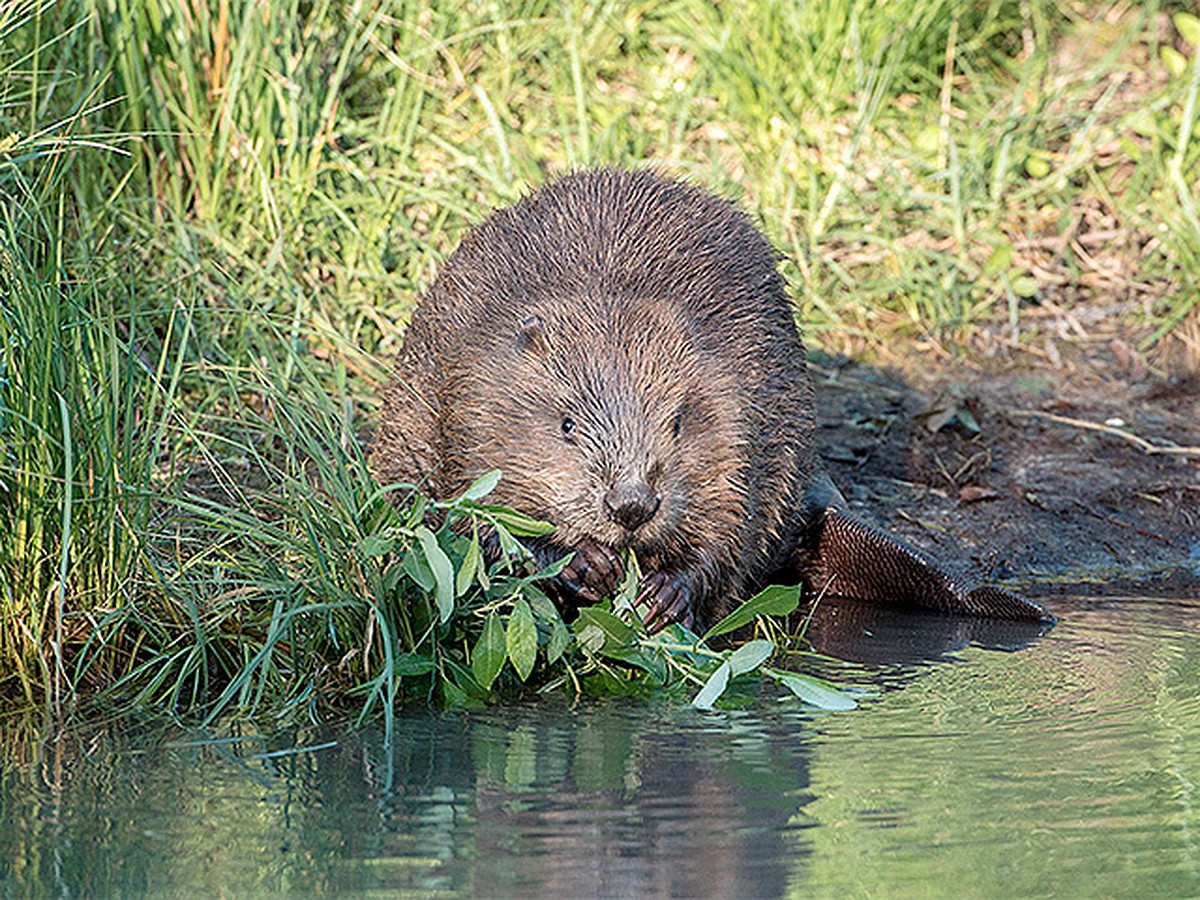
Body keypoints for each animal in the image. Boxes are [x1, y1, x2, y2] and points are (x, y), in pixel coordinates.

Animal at [372, 169, 1051, 633]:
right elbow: (472, 514)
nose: (631, 505)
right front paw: (584, 565)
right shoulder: (465, 400)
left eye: (676, 424)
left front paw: (665, 595)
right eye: (565, 424)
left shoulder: (743, 411)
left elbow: (734, 522)